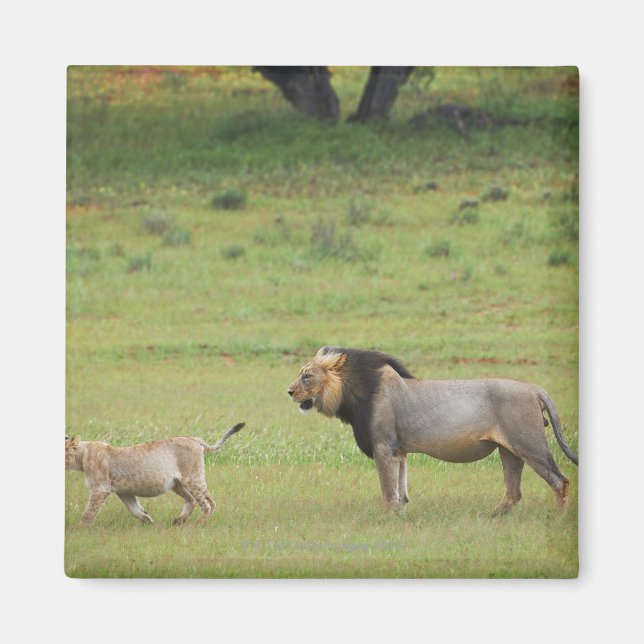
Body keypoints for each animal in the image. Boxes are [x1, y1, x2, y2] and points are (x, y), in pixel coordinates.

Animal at [65, 422, 244, 526]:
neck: (82, 454)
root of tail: (194, 438)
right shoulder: (124, 492)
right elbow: (134, 509)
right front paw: (148, 520)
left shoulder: (101, 489)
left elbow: (89, 511)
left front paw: (78, 529)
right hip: (178, 483)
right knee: (198, 501)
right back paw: (180, 520)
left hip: (192, 478)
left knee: (206, 503)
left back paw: (197, 524)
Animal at [288, 347, 578, 514]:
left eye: (306, 376)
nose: (289, 391)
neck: (353, 392)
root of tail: (534, 388)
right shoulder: (398, 450)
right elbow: (401, 490)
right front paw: (400, 517)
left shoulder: (383, 446)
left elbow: (388, 490)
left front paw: (386, 520)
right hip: (509, 451)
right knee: (513, 493)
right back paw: (492, 517)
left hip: (529, 444)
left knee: (560, 481)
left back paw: (556, 519)